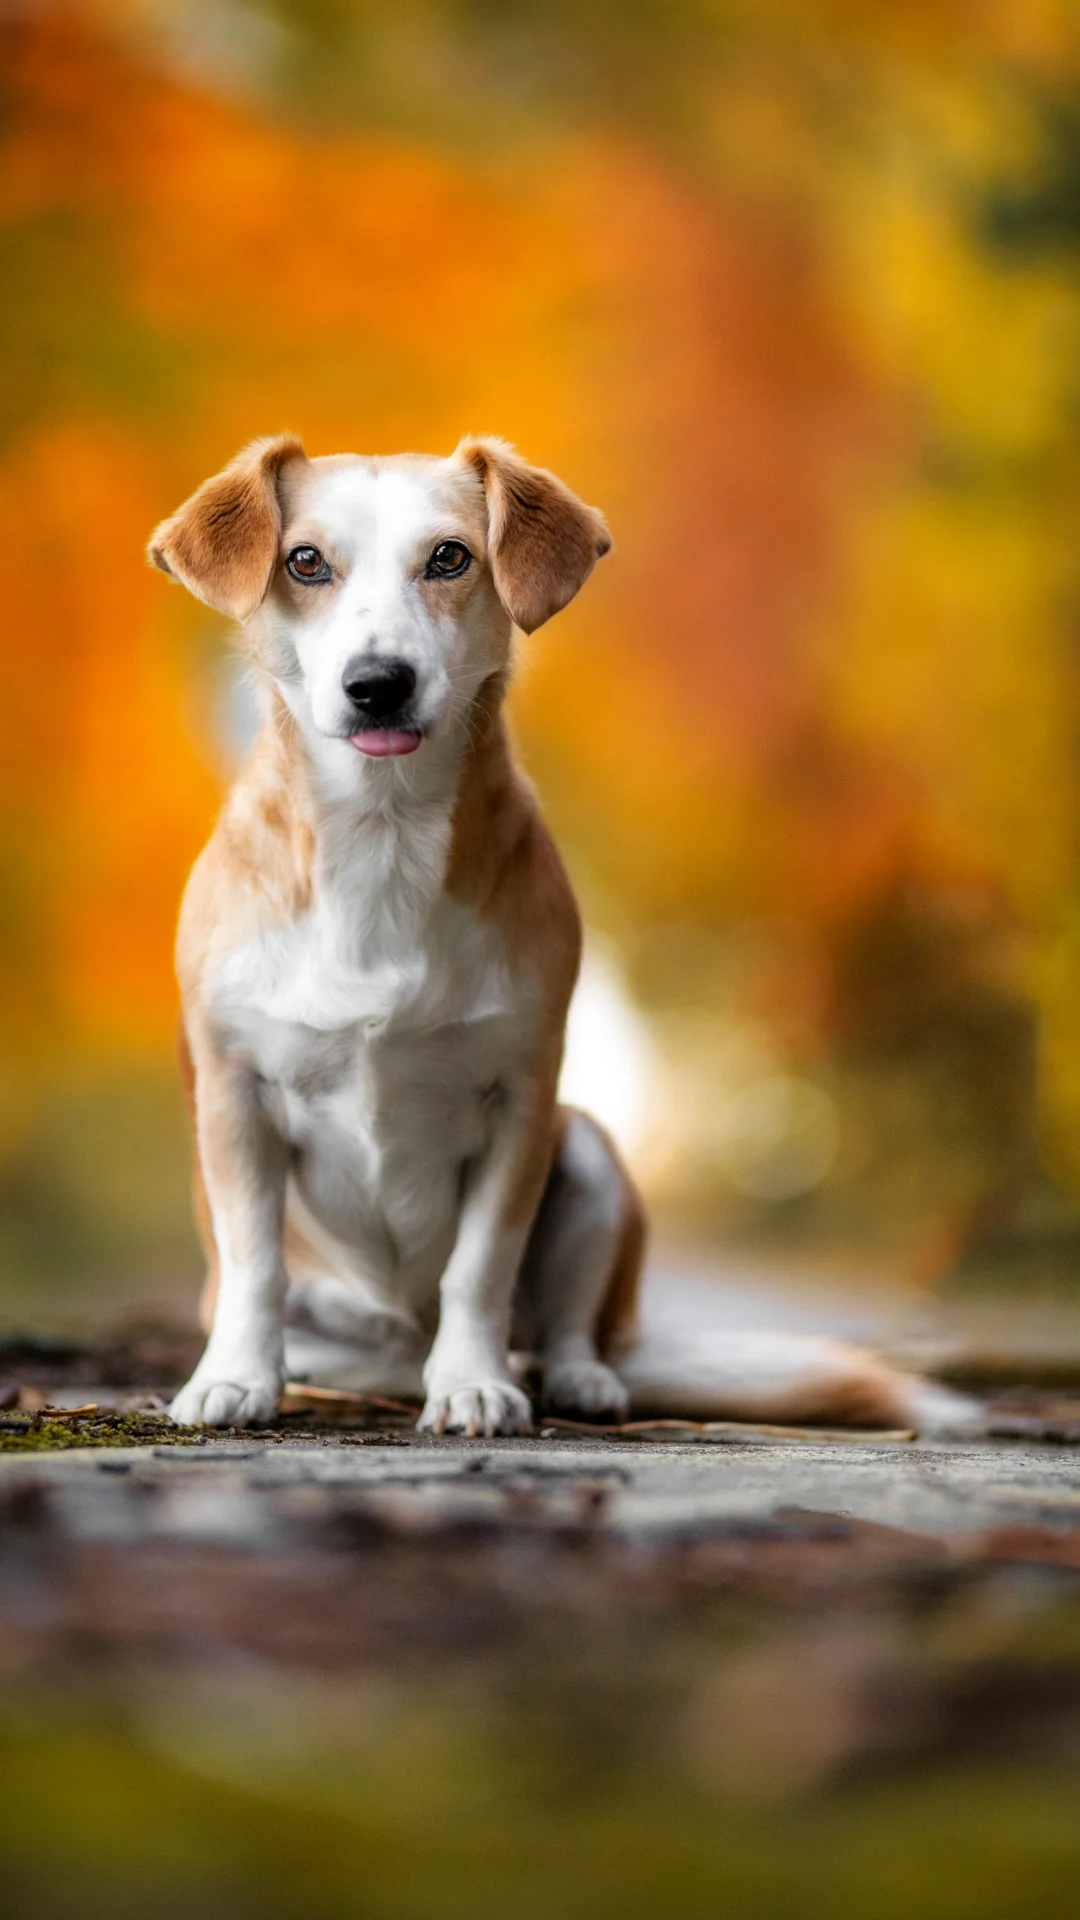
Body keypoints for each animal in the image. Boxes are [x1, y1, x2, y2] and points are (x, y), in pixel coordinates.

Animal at [148, 432, 968, 1428]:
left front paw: (472, 1383)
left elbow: (479, 1268)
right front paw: (234, 1376)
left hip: (590, 1156)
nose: (379, 685)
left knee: (569, 1331)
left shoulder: (523, 1101)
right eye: (305, 561)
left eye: (450, 557)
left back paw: (569, 1377)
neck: (382, 840)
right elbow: (254, 1262)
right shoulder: (234, 1099)